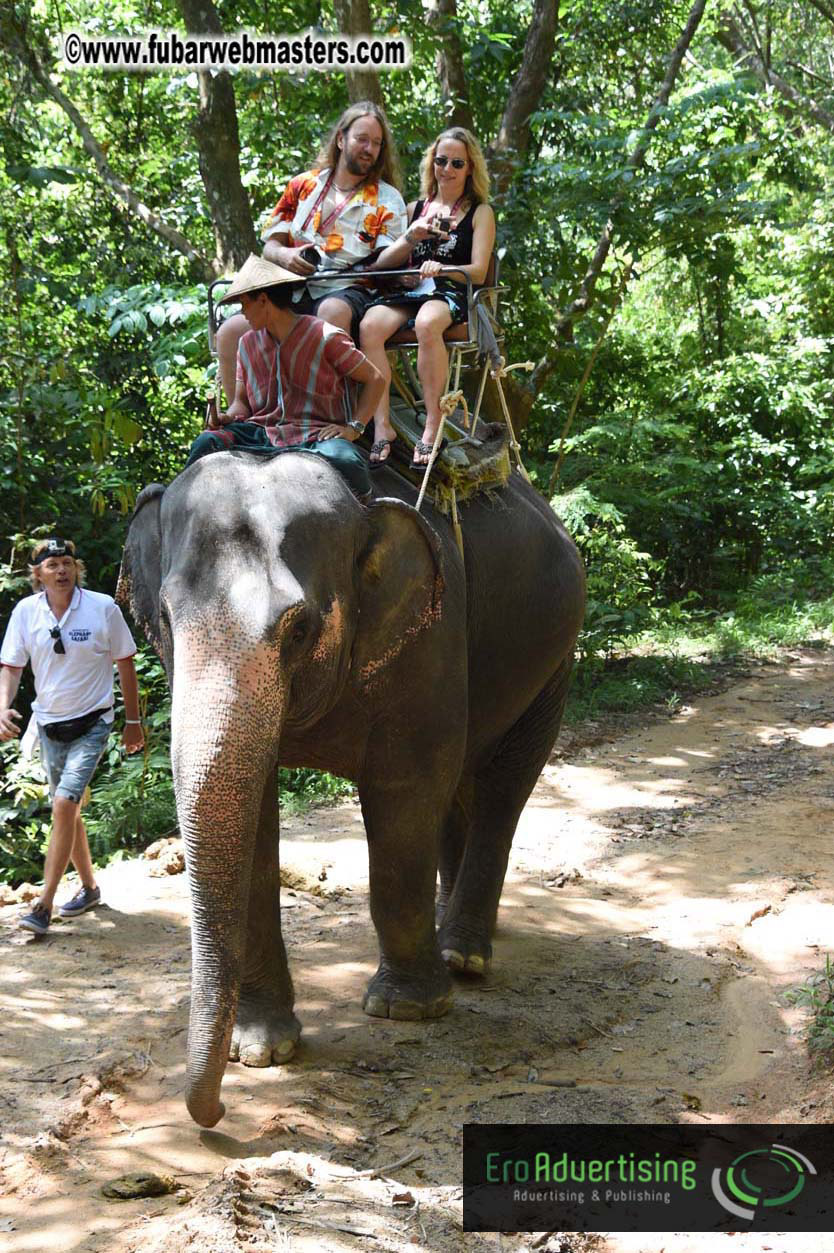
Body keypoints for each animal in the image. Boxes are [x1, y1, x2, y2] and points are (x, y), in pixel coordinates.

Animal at [119, 448, 585, 1127]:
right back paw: (450, 934)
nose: (216, 1114)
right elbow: (254, 811)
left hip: (555, 656)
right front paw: (260, 1049)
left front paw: (408, 1009)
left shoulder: (432, 634)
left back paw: (463, 956)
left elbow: (406, 787)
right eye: (166, 621)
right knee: (464, 783)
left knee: (504, 783)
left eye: (299, 629)